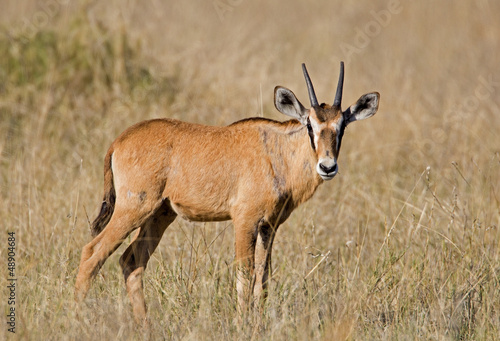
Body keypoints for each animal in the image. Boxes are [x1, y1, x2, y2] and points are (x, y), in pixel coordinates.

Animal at [74, 61, 378, 322]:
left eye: (341, 126)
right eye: (310, 125)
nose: (327, 166)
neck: (277, 152)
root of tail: (119, 141)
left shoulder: (269, 226)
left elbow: (263, 277)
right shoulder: (244, 221)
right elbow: (246, 274)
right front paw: (243, 324)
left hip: (159, 215)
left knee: (132, 261)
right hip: (134, 210)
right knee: (92, 253)